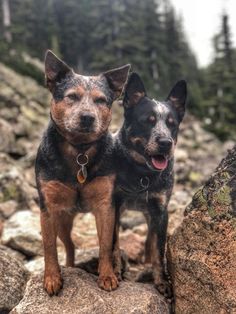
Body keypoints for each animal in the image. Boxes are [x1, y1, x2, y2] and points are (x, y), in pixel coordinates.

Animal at [35, 50, 130, 296]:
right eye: (72, 96)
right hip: (63, 220)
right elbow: (49, 247)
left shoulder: (105, 207)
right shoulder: (49, 207)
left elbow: (104, 245)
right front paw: (52, 278)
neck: (79, 150)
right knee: (69, 245)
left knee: (114, 244)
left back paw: (117, 267)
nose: (87, 117)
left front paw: (107, 275)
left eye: (101, 100)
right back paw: (68, 267)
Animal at [113, 72, 187, 296]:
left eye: (172, 124)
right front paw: (114, 271)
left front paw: (161, 281)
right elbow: (113, 244)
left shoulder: (160, 212)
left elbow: (158, 250)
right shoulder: (113, 206)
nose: (165, 143)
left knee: (149, 241)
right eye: (148, 121)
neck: (142, 175)